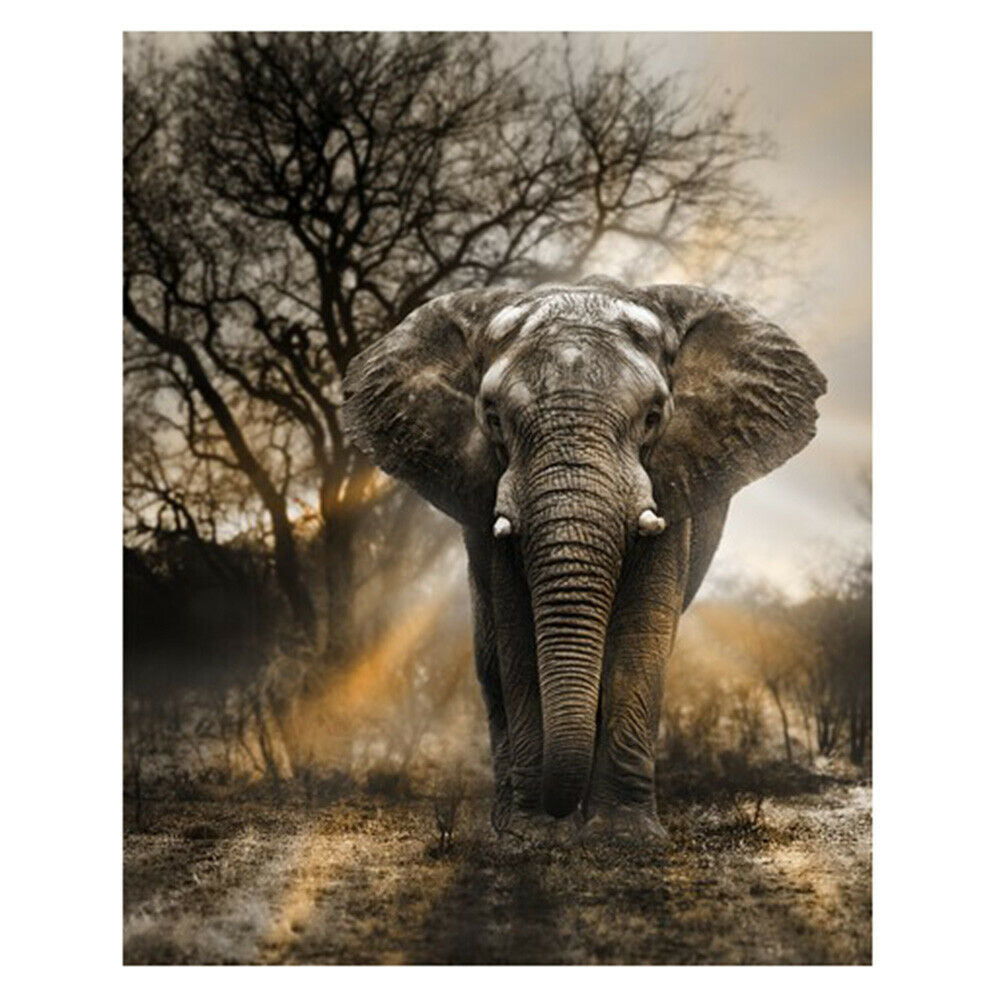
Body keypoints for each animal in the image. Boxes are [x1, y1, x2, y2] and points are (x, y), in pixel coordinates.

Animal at [342, 275, 825, 842]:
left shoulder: (670, 480)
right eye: (493, 418)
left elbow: (641, 631)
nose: (557, 813)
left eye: (653, 417)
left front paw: (624, 836)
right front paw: (533, 836)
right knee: (490, 662)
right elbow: (517, 632)